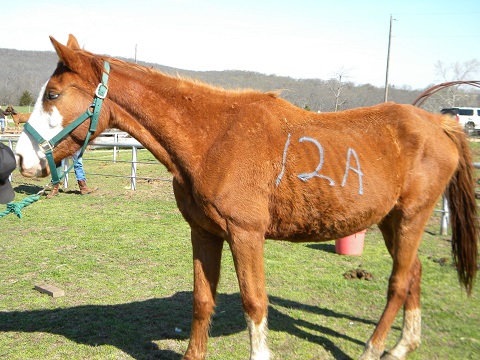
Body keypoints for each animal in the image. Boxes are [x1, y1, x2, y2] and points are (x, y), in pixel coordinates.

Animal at [14, 34, 476, 360]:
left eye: (53, 95)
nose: (20, 157)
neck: (214, 138)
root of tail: (439, 123)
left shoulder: (246, 234)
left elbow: (255, 304)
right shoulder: (204, 233)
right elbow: (203, 301)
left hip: (412, 216)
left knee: (399, 282)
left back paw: (374, 349)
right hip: (392, 220)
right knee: (413, 275)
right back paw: (402, 346)